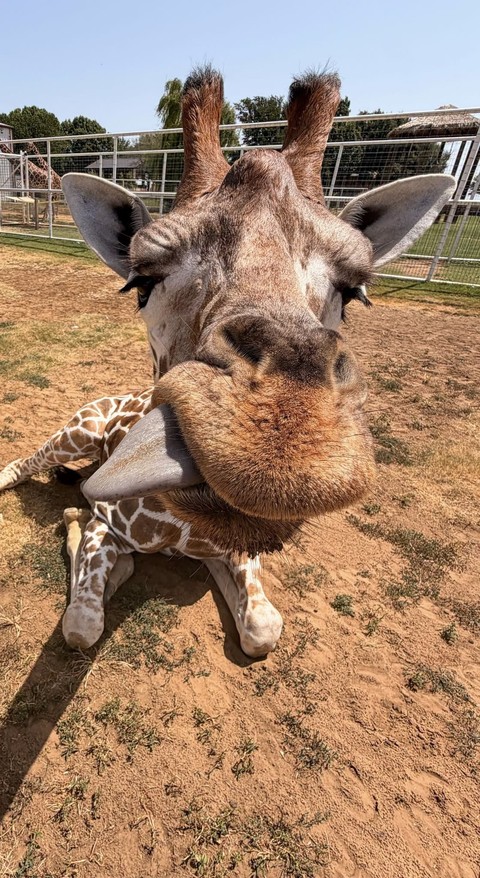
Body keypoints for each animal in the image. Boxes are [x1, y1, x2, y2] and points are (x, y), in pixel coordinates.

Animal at [1, 66, 455, 656]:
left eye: (353, 292)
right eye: (141, 282)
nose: (285, 440)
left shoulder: (238, 544)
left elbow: (263, 628)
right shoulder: (106, 524)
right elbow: (82, 622)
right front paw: (85, 536)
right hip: (77, 430)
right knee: (25, 460)